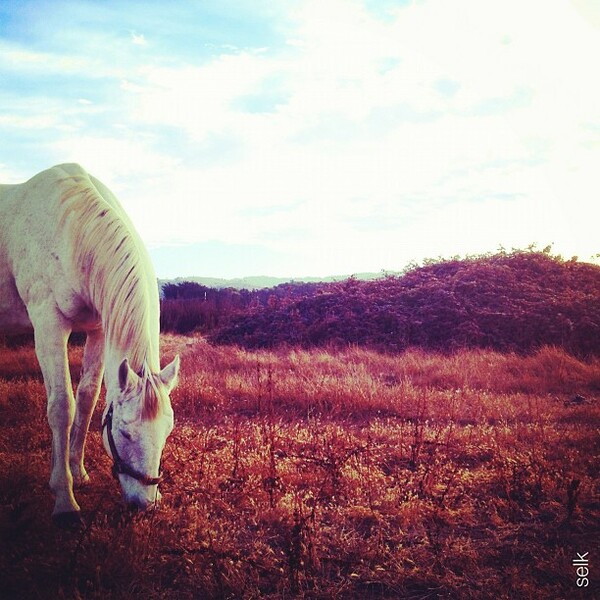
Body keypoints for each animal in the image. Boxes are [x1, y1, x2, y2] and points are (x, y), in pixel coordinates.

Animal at [0, 164, 180, 526]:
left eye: (167, 431)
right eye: (124, 433)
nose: (145, 504)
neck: (69, 232)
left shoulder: (98, 329)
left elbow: (86, 398)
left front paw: (78, 472)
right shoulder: (49, 324)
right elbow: (61, 406)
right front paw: (64, 498)